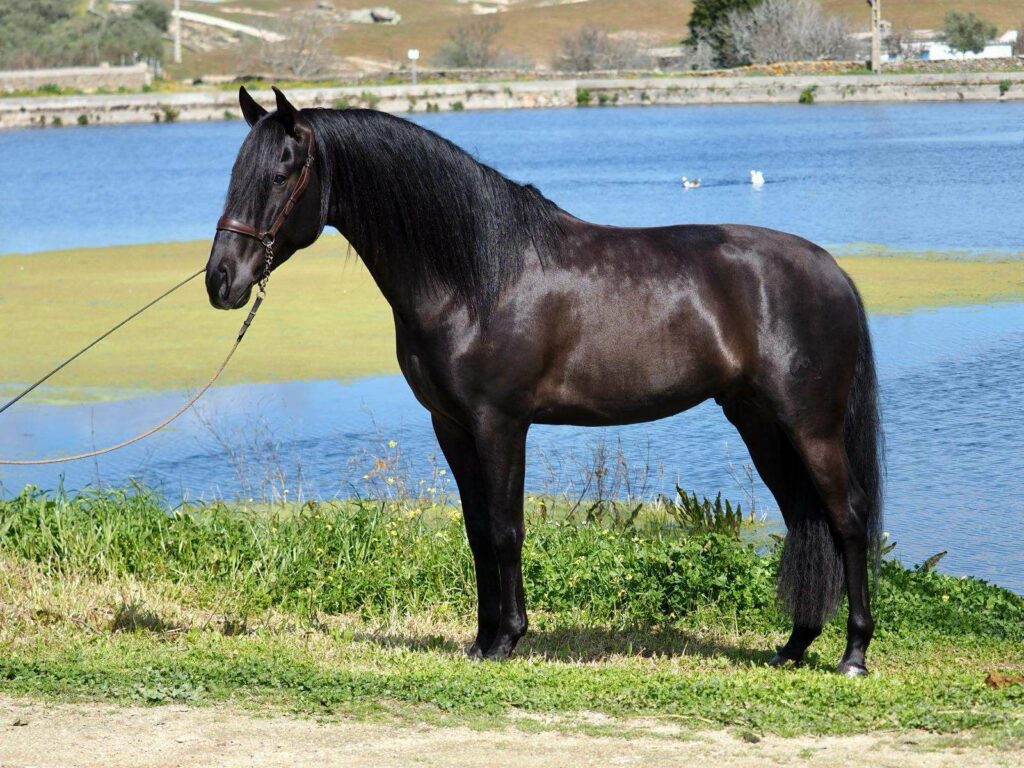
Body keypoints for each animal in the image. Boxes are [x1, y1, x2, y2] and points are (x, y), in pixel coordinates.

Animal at [206, 87, 883, 676]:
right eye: (236, 171)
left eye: (282, 173)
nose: (221, 280)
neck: (477, 278)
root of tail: (833, 271)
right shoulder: (452, 426)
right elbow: (478, 531)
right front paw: (482, 641)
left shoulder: (500, 423)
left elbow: (506, 530)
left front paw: (508, 639)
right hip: (759, 422)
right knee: (804, 518)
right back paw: (794, 645)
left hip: (810, 426)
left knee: (847, 518)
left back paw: (853, 655)